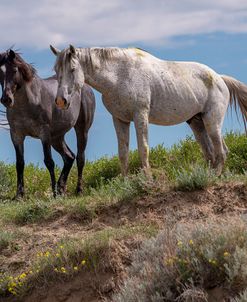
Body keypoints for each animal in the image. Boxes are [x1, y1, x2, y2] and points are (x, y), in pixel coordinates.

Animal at [0, 50, 95, 198]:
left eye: (14, 70)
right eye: (0, 71)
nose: (6, 99)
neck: (28, 102)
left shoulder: (44, 134)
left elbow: (49, 162)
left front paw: (54, 193)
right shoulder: (16, 135)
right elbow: (20, 163)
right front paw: (19, 195)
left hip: (81, 130)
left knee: (80, 158)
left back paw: (78, 190)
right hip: (57, 137)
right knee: (69, 157)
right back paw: (61, 188)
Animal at [49, 45, 247, 177]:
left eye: (72, 69)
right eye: (56, 70)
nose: (60, 101)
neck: (120, 74)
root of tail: (220, 78)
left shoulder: (140, 116)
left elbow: (143, 148)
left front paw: (147, 178)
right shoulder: (120, 119)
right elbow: (123, 152)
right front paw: (124, 181)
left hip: (212, 122)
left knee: (220, 151)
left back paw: (216, 176)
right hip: (198, 123)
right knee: (211, 152)